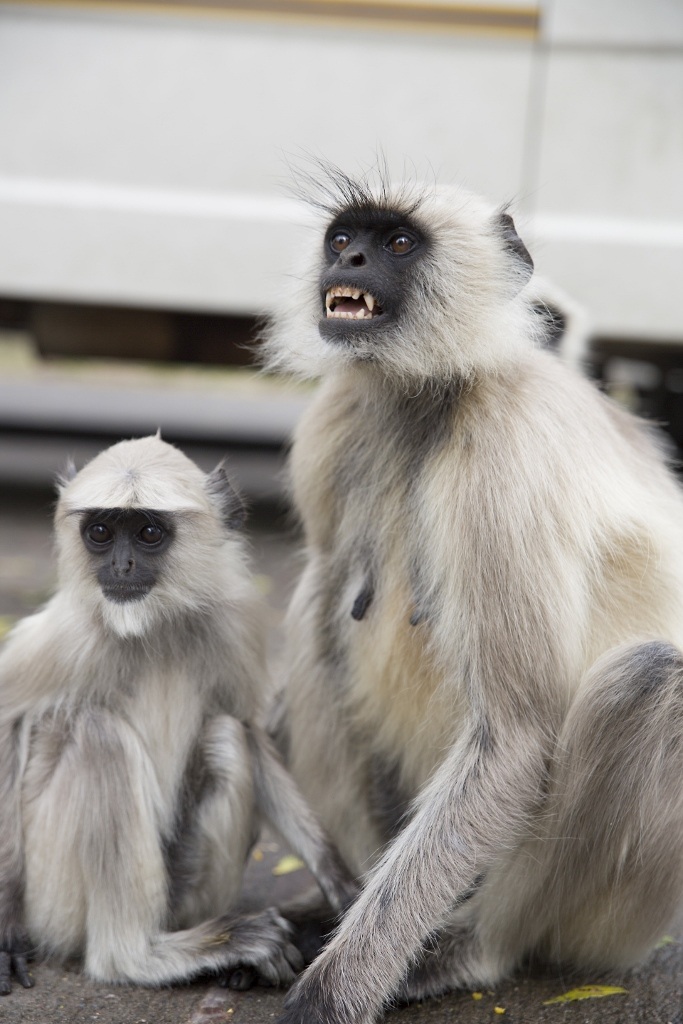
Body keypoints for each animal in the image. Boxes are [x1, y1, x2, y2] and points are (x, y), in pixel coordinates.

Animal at [0, 435, 355, 995]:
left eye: (149, 533)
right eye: (100, 532)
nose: (121, 566)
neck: (152, 626)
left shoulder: (232, 623)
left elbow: (247, 727)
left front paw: (339, 882)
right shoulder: (69, 632)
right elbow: (9, 720)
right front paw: (6, 925)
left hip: (178, 891)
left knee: (227, 736)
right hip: (54, 897)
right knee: (98, 734)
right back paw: (139, 957)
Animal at [261, 166, 683, 1024]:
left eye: (396, 242)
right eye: (342, 237)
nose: (349, 260)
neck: (423, 394)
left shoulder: (504, 442)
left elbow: (513, 738)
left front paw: (326, 997)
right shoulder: (332, 424)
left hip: (615, 915)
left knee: (649, 678)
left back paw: (470, 949)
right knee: (320, 607)